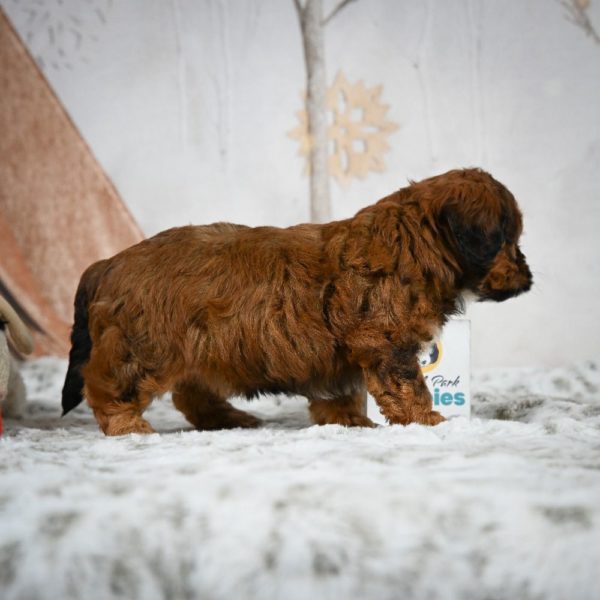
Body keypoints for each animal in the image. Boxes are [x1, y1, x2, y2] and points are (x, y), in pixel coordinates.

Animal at [59, 166, 528, 434]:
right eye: (508, 239)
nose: (528, 278)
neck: (416, 244)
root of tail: (111, 261)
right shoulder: (385, 342)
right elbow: (407, 385)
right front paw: (427, 420)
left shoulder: (348, 355)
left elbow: (345, 391)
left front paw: (349, 421)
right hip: (144, 347)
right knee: (107, 384)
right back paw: (127, 425)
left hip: (201, 346)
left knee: (190, 393)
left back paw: (227, 419)